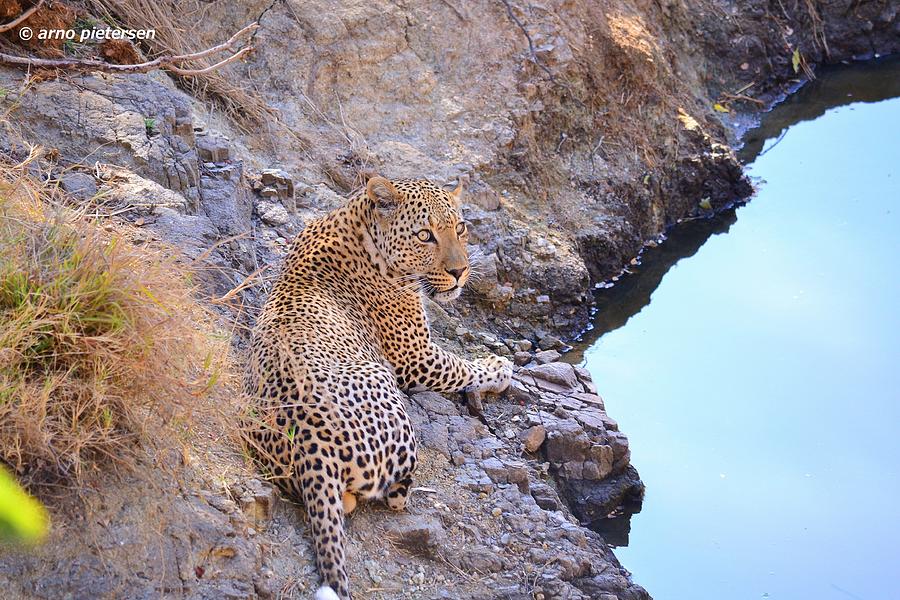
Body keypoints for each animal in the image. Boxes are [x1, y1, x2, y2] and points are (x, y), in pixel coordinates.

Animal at [243, 176, 513, 600]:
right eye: (425, 235)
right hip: (388, 395)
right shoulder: (415, 356)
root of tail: (310, 450)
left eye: (461, 228)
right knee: (390, 495)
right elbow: (462, 366)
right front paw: (500, 367)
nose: (460, 271)